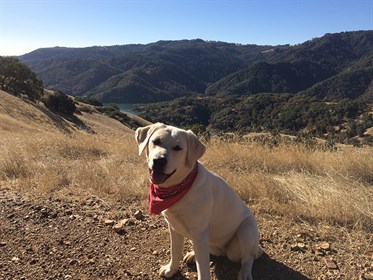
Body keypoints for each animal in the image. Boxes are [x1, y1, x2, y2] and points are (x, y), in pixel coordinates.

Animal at [134, 123, 262, 280]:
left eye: (178, 148)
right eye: (156, 141)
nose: (159, 161)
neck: (179, 187)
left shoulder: (199, 233)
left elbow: (203, 270)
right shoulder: (174, 227)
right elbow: (175, 251)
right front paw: (171, 269)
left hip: (246, 230)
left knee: (248, 258)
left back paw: (244, 273)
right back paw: (192, 254)